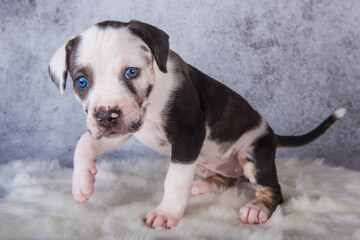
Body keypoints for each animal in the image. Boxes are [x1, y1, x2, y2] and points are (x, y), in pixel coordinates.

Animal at [48, 20, 346, 229]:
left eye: (132, 72)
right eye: (81, 81)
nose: (106, 116)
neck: (154, 99)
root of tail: (272, 134)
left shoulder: (188, 136)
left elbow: (175, 179)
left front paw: (167, 213)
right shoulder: (125, 127)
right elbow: (84, 142)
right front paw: (82, 183)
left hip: (253, 153)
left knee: (273, 190)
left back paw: (257, 208)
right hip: (206, 161)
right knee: (226, 180)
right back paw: (202, 186)